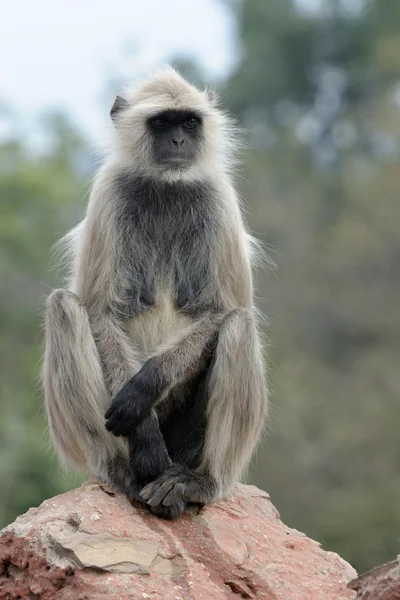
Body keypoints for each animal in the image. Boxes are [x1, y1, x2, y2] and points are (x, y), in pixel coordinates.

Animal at [43, 64, 268, 516]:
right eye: (162, 123)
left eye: (189, 122)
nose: (179, 141)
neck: (168, 186)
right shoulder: (109, 191)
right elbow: (101, 311)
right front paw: (144, 434)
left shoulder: (219, 198)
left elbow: (225, 309)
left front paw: (143, 388)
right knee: (63, 306)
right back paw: (121, 469)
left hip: (186, 442)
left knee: (239, 323)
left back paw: (198, 481)